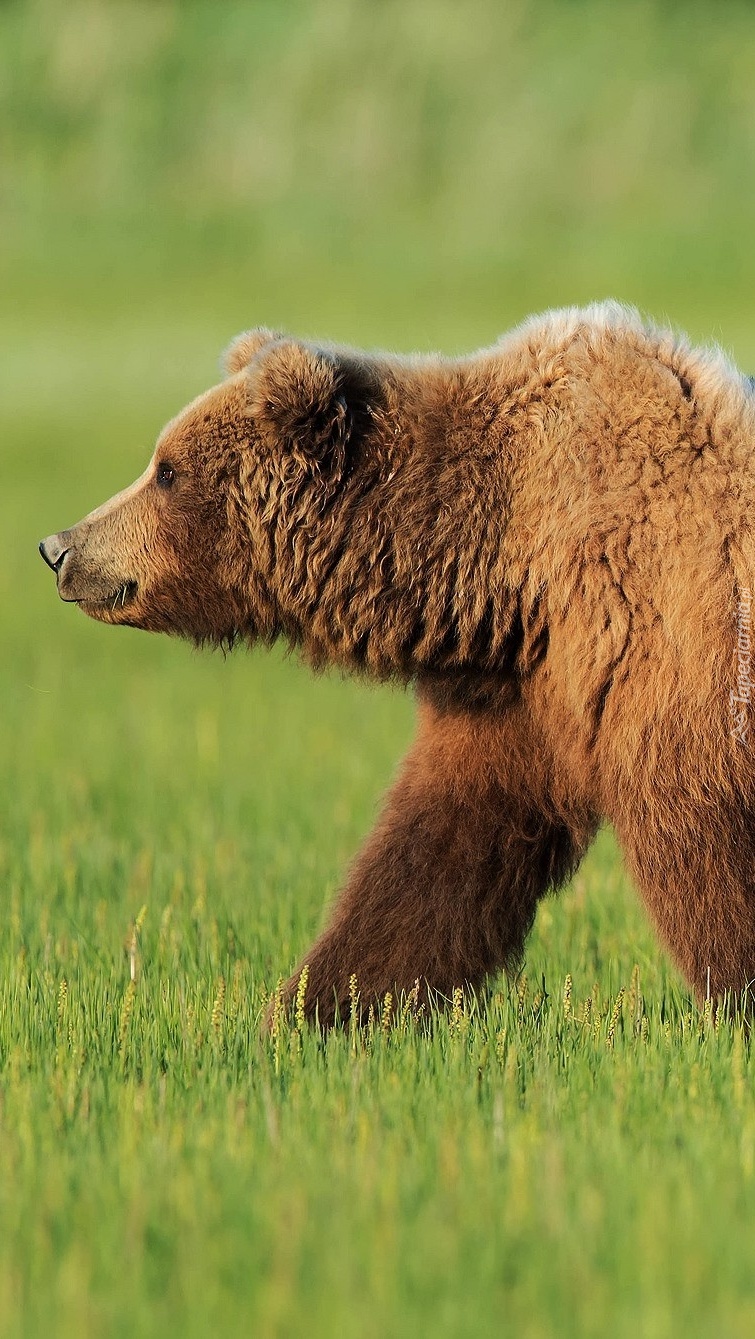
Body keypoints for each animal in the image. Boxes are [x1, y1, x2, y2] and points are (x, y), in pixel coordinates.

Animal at [39, 301, 755, 1012]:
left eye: (166, 470)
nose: (58, 547)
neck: (497, 559)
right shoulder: (517, 688)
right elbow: (441, 850)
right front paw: (319, 1005)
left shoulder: (653, 643)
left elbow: (698, 846)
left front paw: (733, 995)